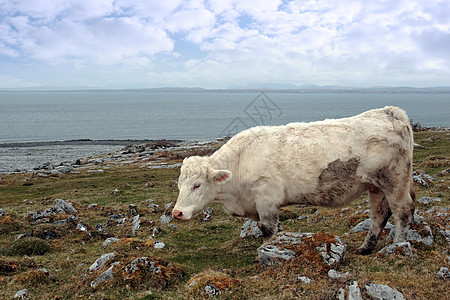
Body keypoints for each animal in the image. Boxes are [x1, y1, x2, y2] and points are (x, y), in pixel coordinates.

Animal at [173, 106, 414, 254]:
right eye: (179, 185)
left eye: (196, 185)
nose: (177, 213)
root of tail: (389, 112)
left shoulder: (266, 197)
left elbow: (267, 229)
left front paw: (265, 252)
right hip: (376, 186)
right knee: (379, 214)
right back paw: (366, 248)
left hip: (395, 180)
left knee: (402, 210)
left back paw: (397, 246)